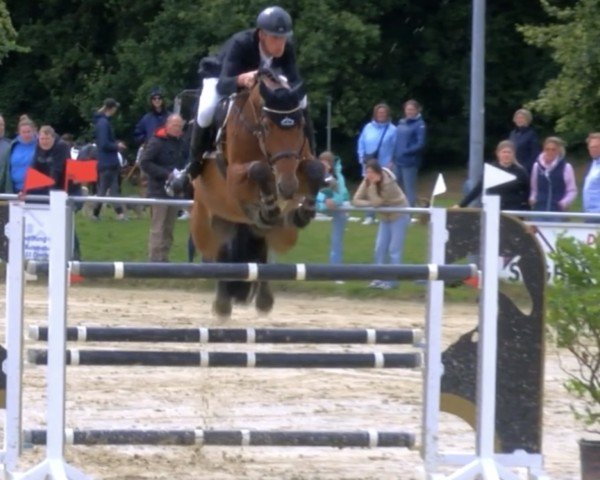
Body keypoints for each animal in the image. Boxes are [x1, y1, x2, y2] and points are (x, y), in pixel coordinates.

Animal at [191, 66, 324, 316]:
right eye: (267, 127)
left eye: (301, 125)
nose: (287, 187)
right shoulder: (234, 177)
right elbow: (259, 169)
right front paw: (269, 207)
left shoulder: (298, 163)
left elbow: (316, 169)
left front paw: (304, 211)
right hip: (205, 224)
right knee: (218, 254)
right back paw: (222, 304)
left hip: (284, 235)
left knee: (265, 255)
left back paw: (264, 299)